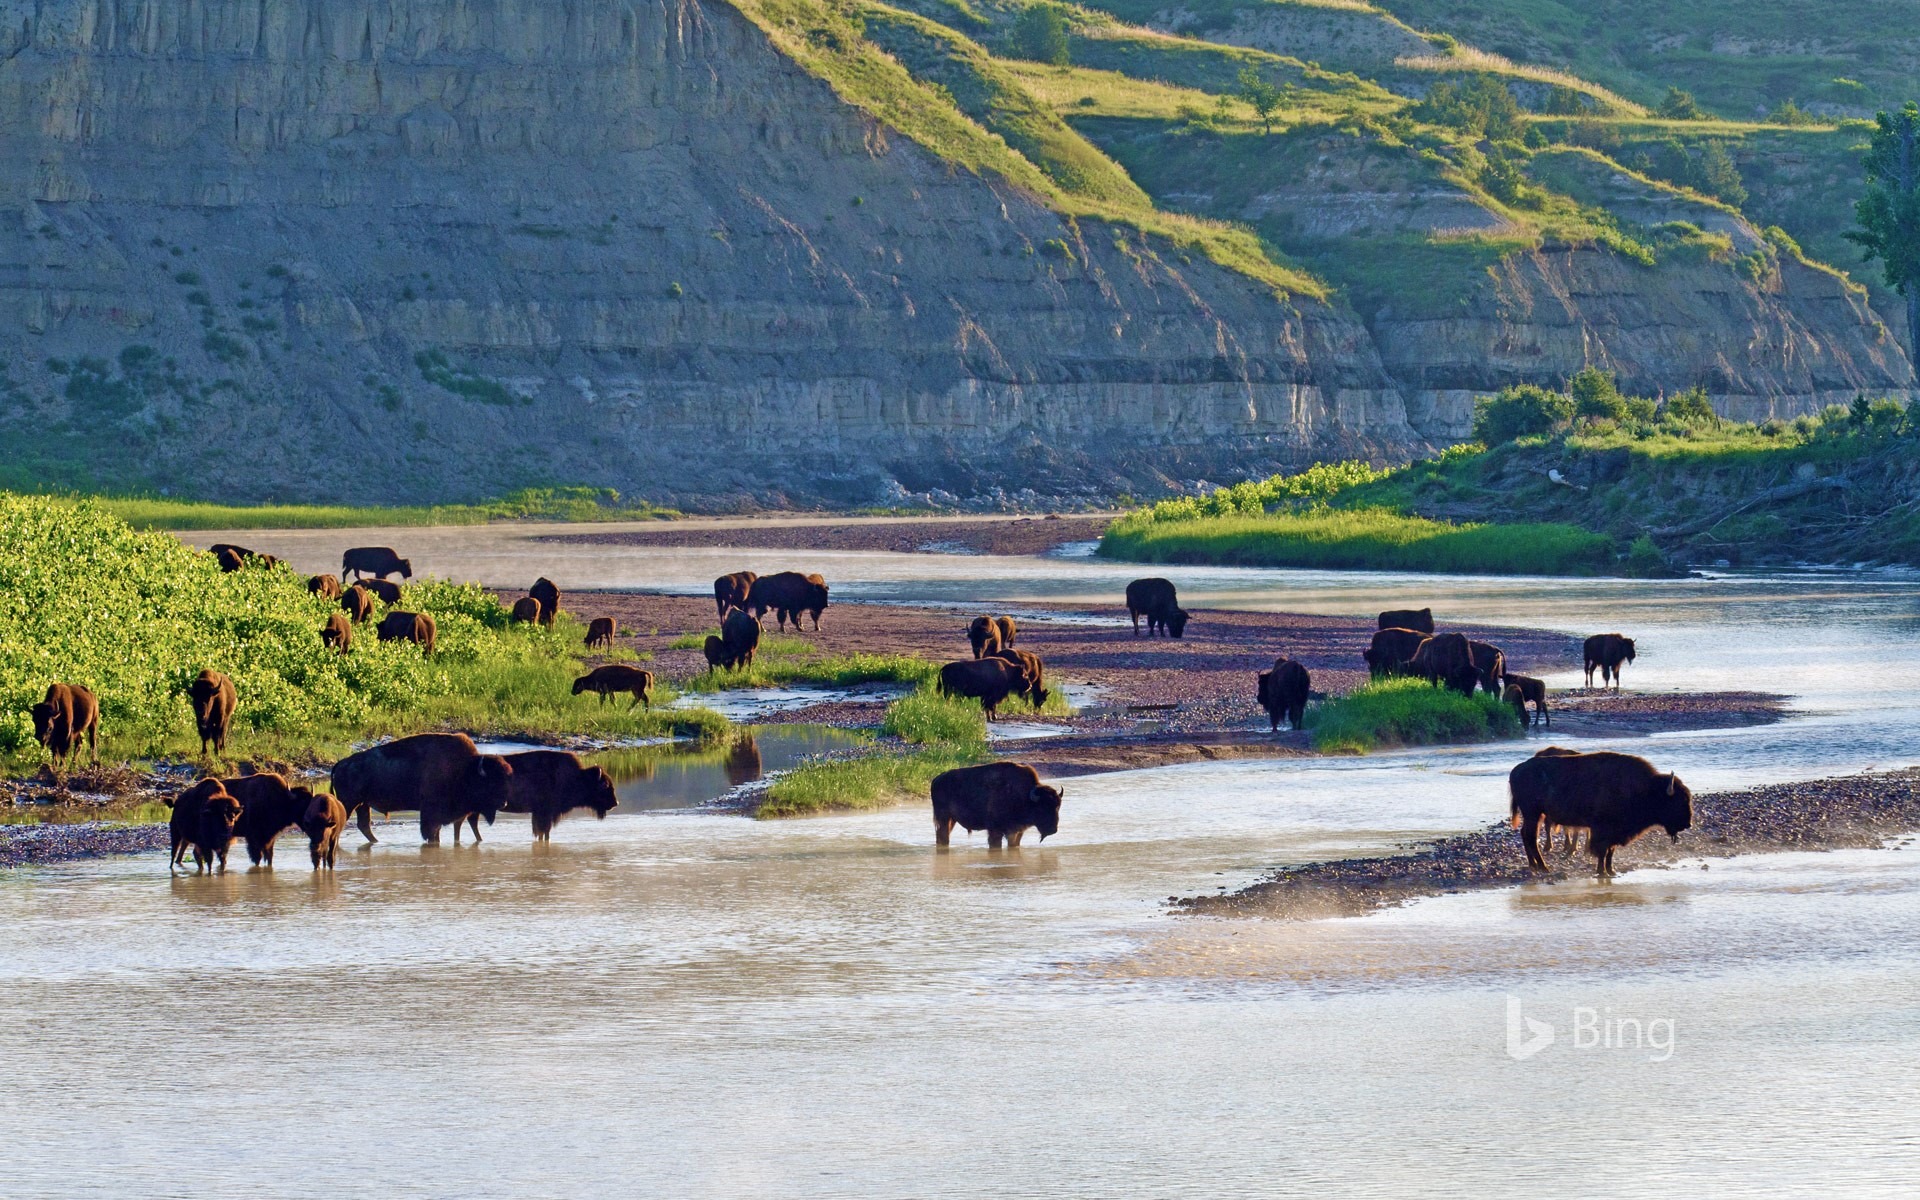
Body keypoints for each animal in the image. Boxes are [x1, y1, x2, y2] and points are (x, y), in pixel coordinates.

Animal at [330, 729, 514, 840]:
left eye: (505, 780)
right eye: (491, 782)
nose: (503, 803)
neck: (464, 769)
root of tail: (340, 764)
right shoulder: (430, 814)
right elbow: (430, 833)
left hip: (363, 804)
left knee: (364, 825)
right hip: (350, 803)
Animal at [929, 764, 1067, 848]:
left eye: (1058, 806)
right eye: (1042, 808)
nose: (1053, 830)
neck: (1025, 796)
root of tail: (936, 779)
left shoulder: (1017, 832)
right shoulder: (996, 831)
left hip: (951, 820)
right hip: (943, 818)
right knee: (943, 836)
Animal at [1505, 744, 1689, 875]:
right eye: (1677, 801)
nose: (1688, 824)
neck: (1646, 788)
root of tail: (1516, 770)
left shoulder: (1613, 833)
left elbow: (1610, 852)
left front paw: (1611, 871)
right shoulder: (1602, 830)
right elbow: (1602, 851)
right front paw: (1602, 872)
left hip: (1533, 815)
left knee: (1526, 835)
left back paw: (1534, 865)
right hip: (1533, 813)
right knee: (1531, 836)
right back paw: (1544, 867)